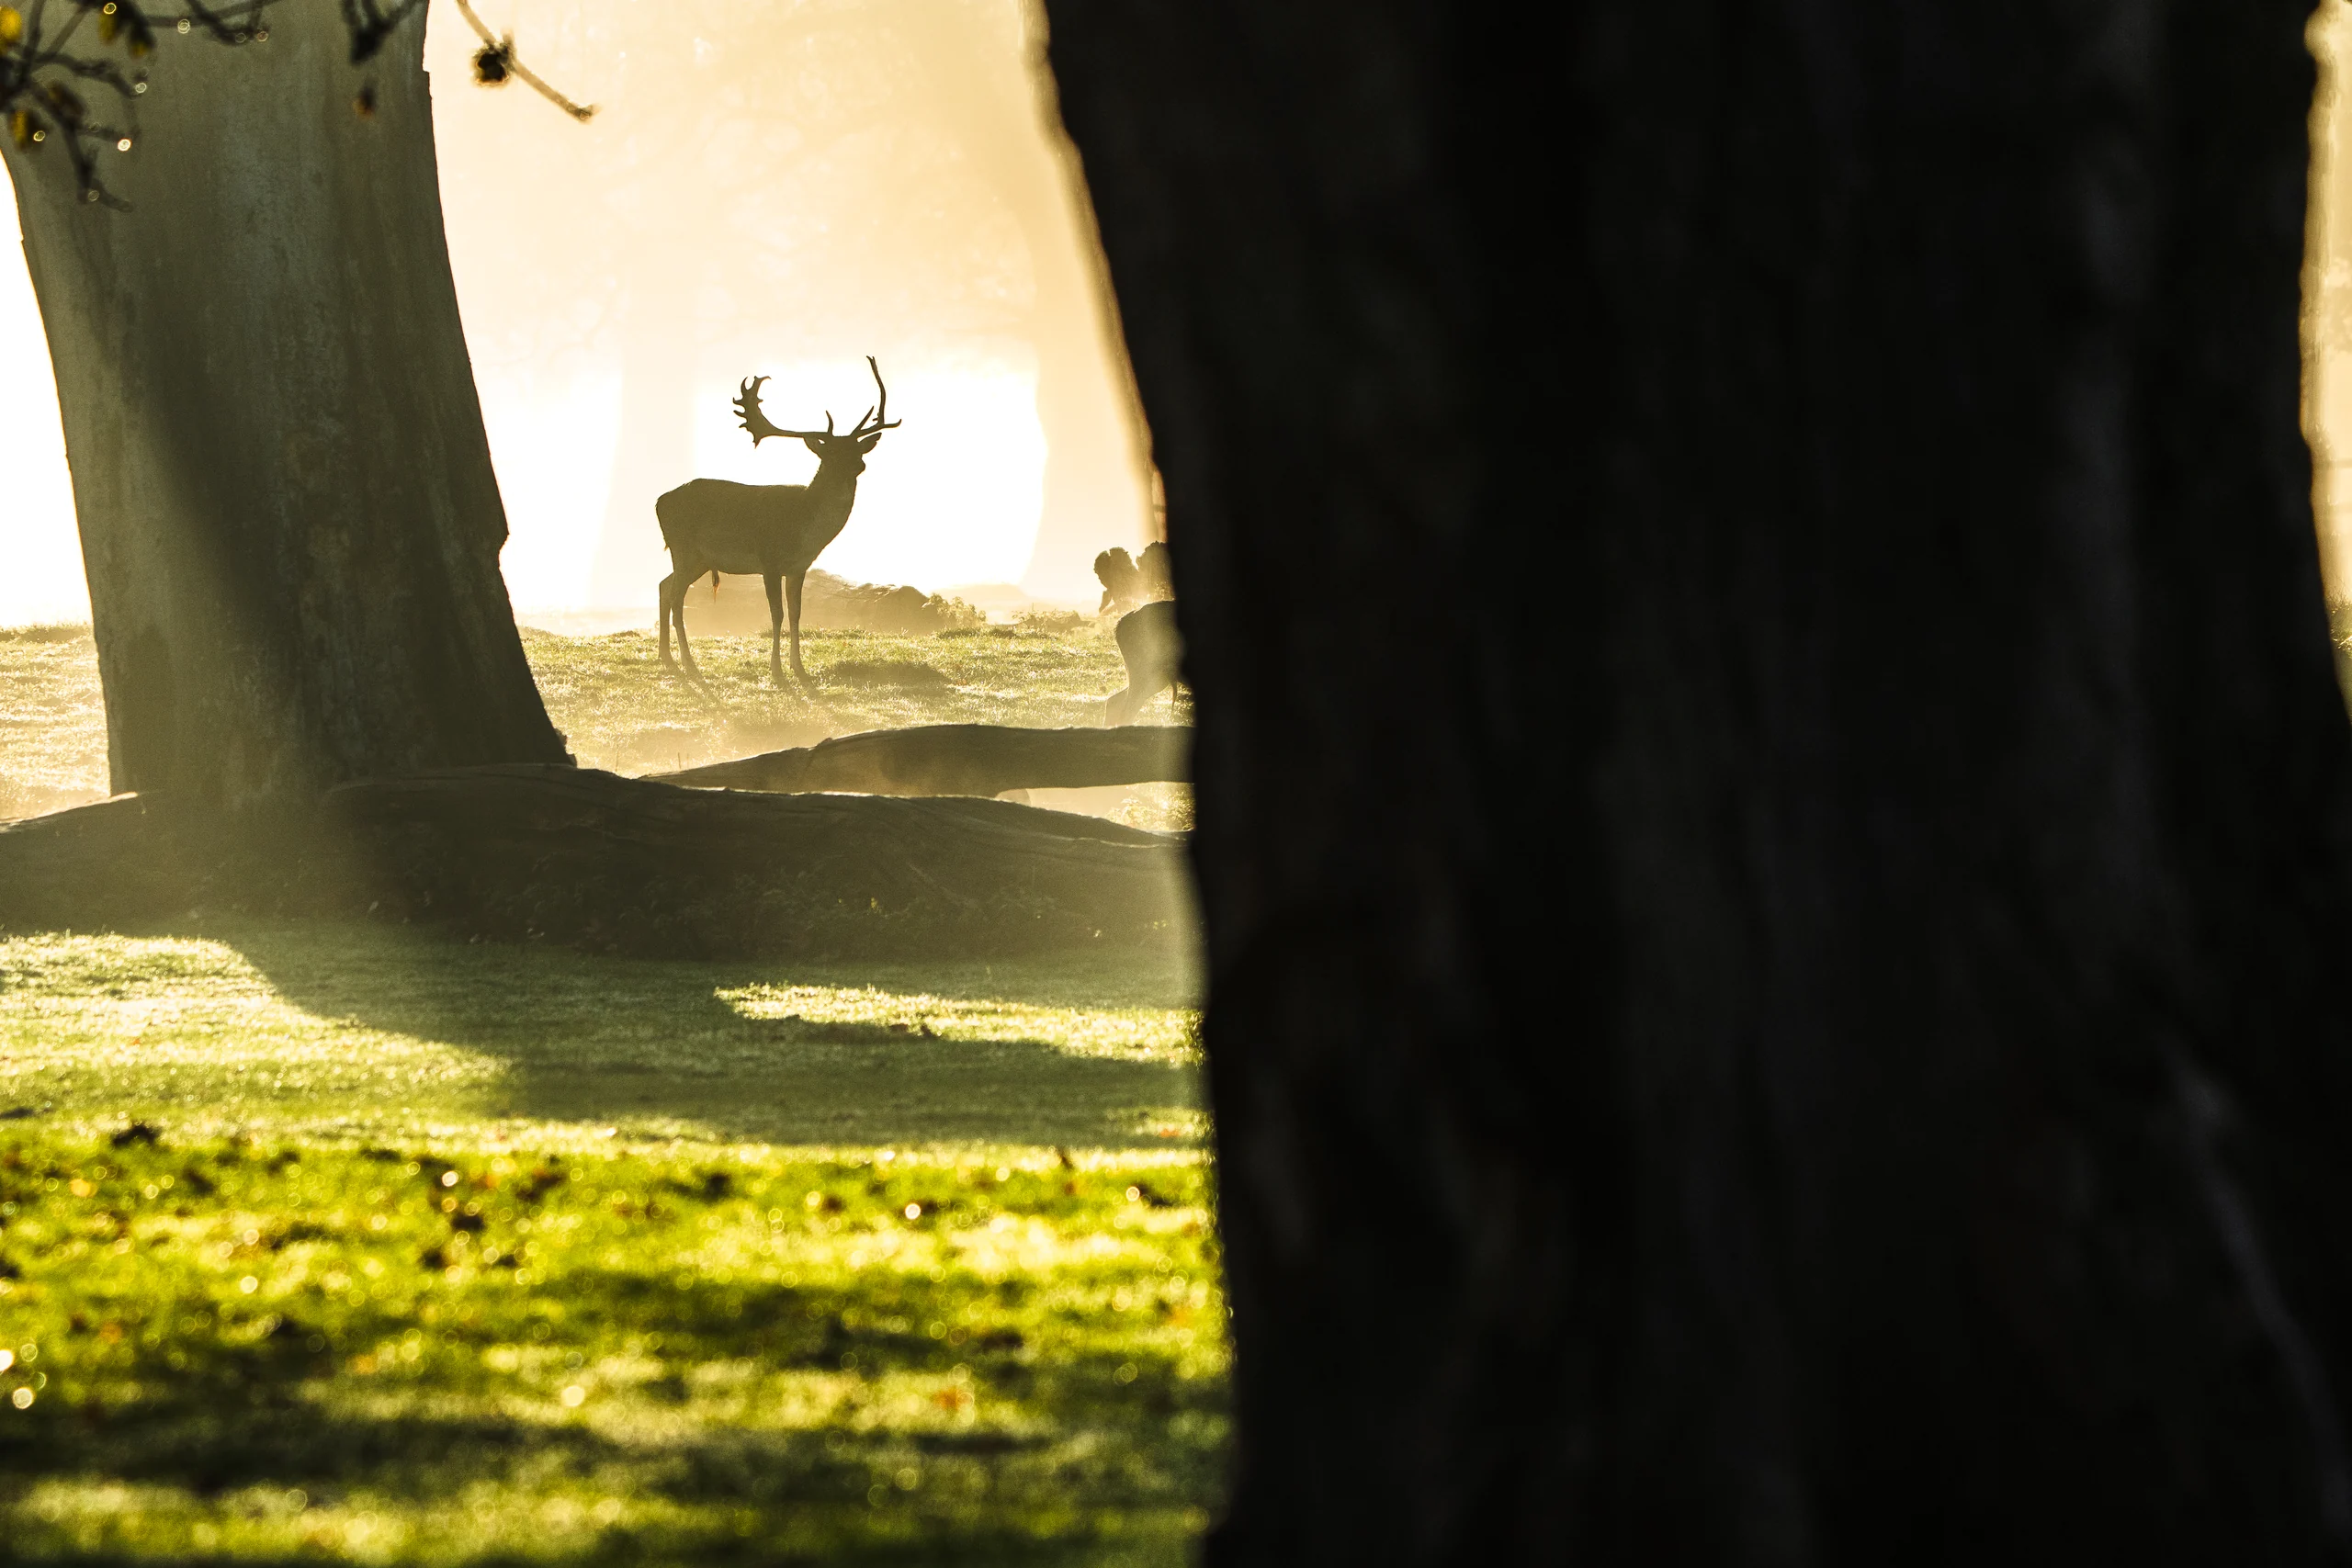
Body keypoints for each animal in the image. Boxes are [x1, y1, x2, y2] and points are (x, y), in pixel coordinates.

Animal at [654, 357, 901, 686]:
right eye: (831, 452)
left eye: (856, 448)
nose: (859, 465)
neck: (804, 527)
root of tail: (659, 502)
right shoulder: (769, 561)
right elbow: (777, 614)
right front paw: (777, 670)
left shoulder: (798, 567)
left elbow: (796, 613)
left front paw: (799, 667)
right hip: (684, 549)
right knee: (676, 596)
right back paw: (689, 663)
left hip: (698, 559)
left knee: (663, 586)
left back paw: (667, 656)